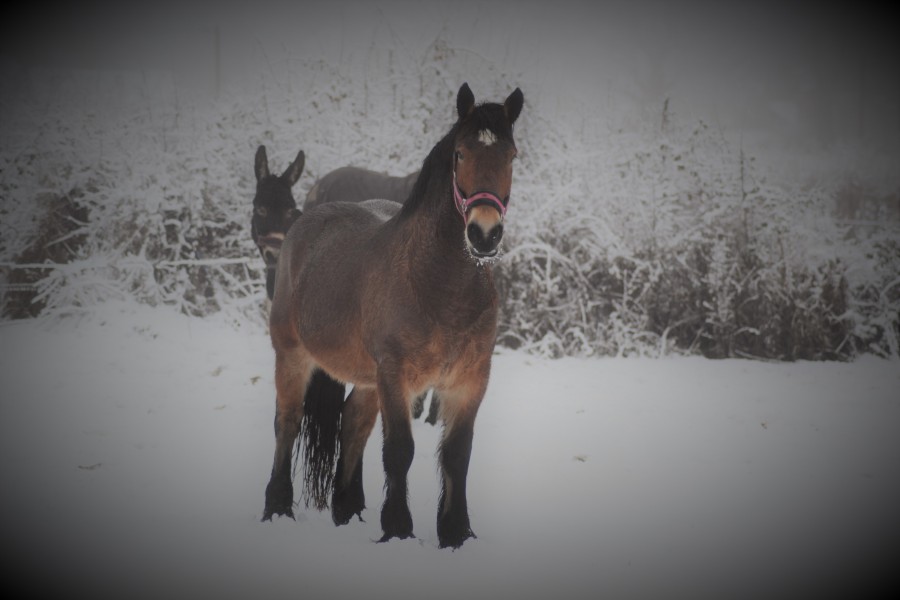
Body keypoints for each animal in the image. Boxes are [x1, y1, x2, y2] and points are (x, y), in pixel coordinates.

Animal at [260, 83, 524, 548]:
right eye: (460, 154)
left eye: (510, 155)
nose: (484, 234)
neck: (440, 286)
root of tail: (302, 223)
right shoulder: (398, 376)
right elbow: (400, 450)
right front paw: (399, 529)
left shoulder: (470, 380)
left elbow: (457, 454)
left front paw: (455, 533)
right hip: (293, 356)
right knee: (287, 422)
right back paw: (277, 507)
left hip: (369, 379)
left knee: (353, 424)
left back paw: (347, 511)